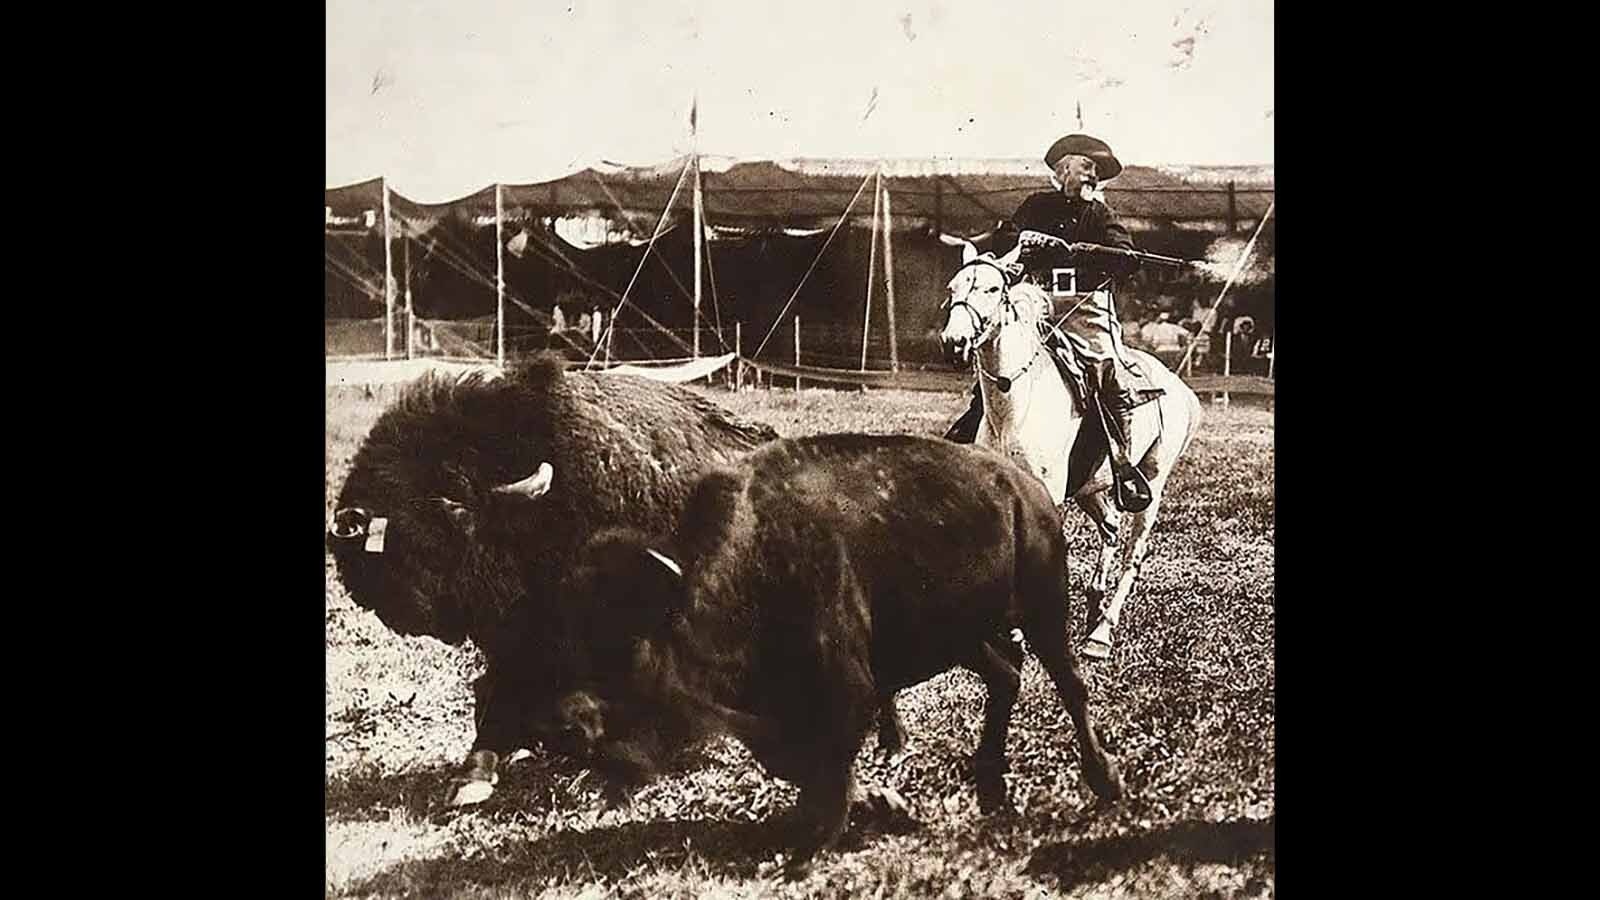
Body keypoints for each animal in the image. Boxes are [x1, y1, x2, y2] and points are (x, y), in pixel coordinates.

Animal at [539, 434, 1124, 874]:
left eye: (629, 643)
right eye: (568, 634)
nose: (567, 727)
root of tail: (1027, 489)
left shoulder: (847, 691)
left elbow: (830, 764)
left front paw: (816, 845)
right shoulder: (773, 717)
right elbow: (798, 765)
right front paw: (879, 806)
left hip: (1044, 608)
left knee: (1070, 684)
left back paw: (1105, 781)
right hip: (964, 635)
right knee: (1006, 676)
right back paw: (991, 789)